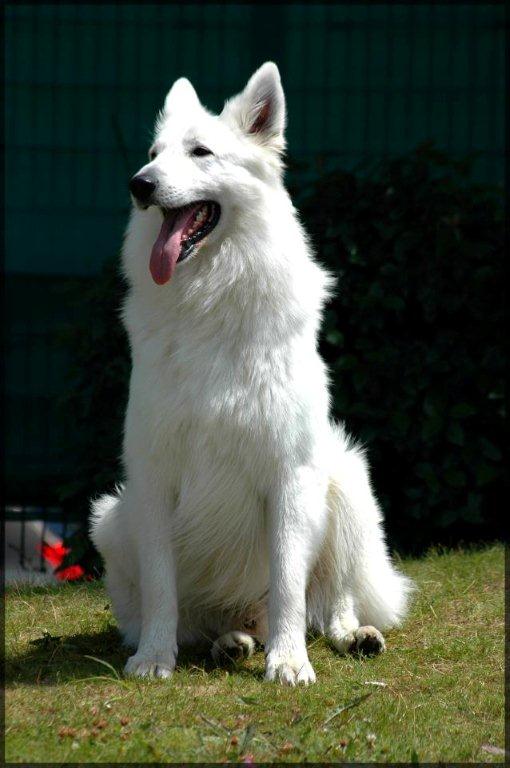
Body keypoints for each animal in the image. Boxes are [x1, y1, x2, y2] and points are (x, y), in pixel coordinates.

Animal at [89, 60, 412, 684]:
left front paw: (287, 662)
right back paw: (229, 642)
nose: (139, 185)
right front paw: (154, 659)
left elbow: (288, 583)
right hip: (113, 519)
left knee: (332, 600)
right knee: (200, 618)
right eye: (154, 153)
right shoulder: (153, 478)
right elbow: (162, 588)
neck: (211, 299)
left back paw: (348, 636)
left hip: (345, 481)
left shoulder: (290, 475)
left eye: (200, 152)